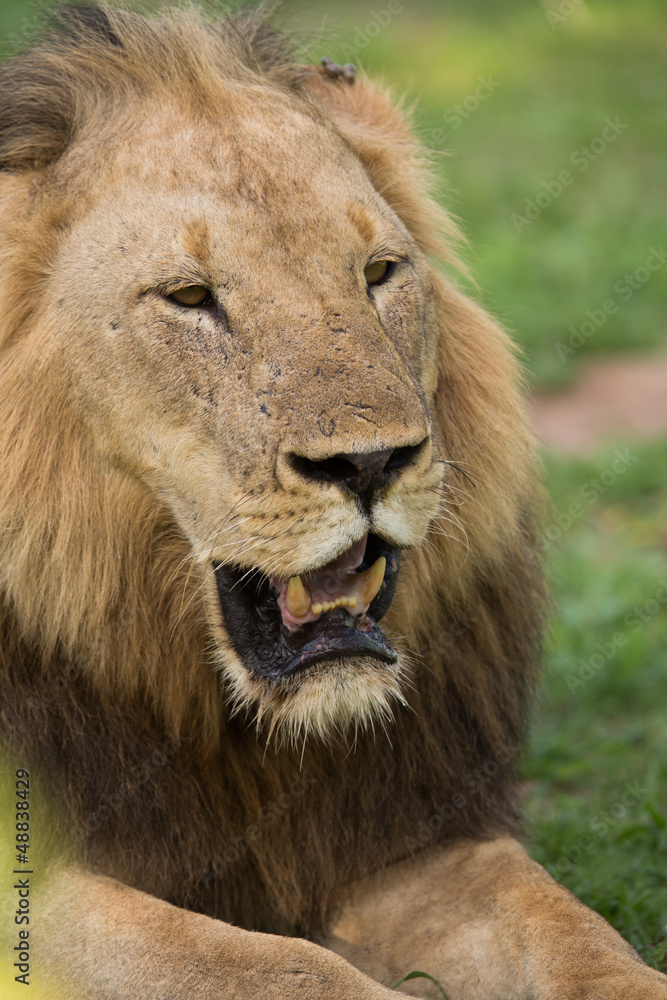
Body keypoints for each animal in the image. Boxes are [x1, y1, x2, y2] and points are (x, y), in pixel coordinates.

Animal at [0, 3, 664, 996]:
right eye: (189, 296)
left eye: (379, 272)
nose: (370, 462)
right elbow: (275, 966)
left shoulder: (402, 836)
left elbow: (569, 931)